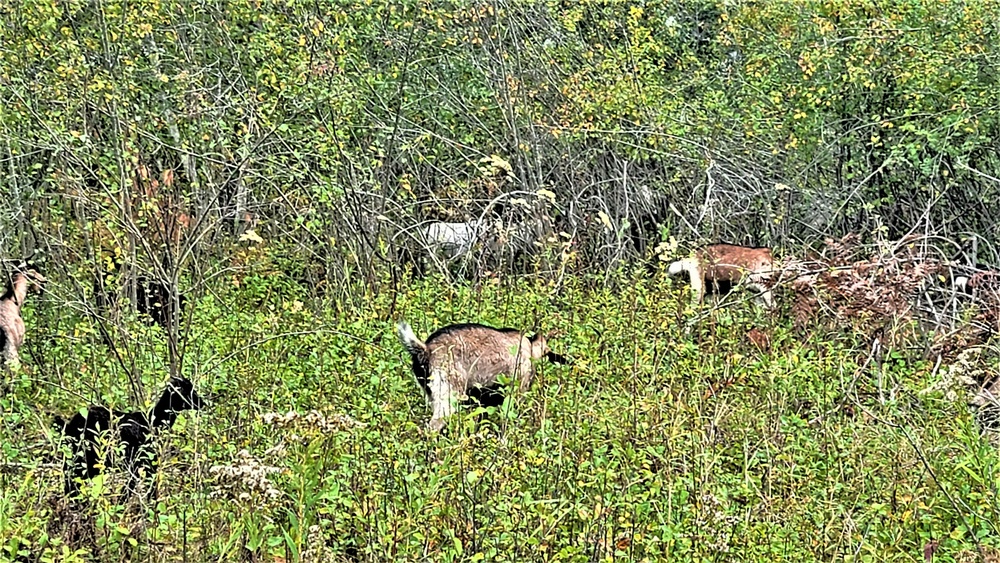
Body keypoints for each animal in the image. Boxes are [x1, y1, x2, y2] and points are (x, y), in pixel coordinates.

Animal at [55, 376, 205, 500]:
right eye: (187, 390)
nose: (202, 403)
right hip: (90, 456)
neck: (153, 421)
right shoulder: (146, 459)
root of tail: (70, 425)